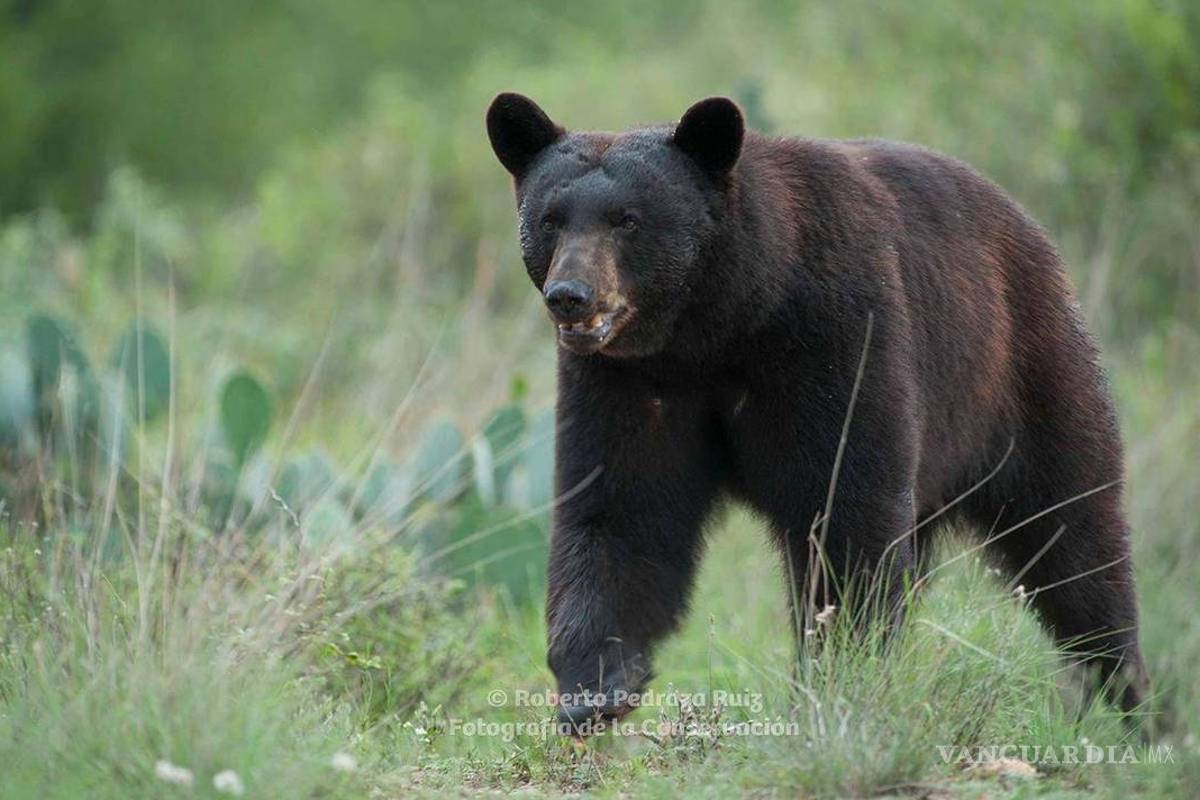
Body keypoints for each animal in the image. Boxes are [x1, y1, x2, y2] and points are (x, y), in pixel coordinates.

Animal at [485, 92, 1149, 732]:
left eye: (627, 219)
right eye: (550, 219)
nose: (570, 296)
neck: (724, 320)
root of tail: (1028, 227)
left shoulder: (837, 339)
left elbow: (847, 511)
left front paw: (840, 673)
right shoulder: (632, 381)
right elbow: (623, 508)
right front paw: (594, 687)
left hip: (1020, 377)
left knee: (1074, 536)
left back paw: (1128, 694)